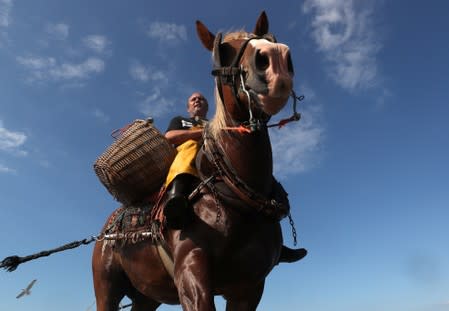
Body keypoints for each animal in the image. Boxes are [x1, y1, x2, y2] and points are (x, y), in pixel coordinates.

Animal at [93, 11, 298, 310]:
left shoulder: (250, 287)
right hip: (107, 287)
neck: (234, 195)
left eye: (267, 38)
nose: (275, 59)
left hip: (146, 295)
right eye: (222, 52)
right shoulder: (191, 270)